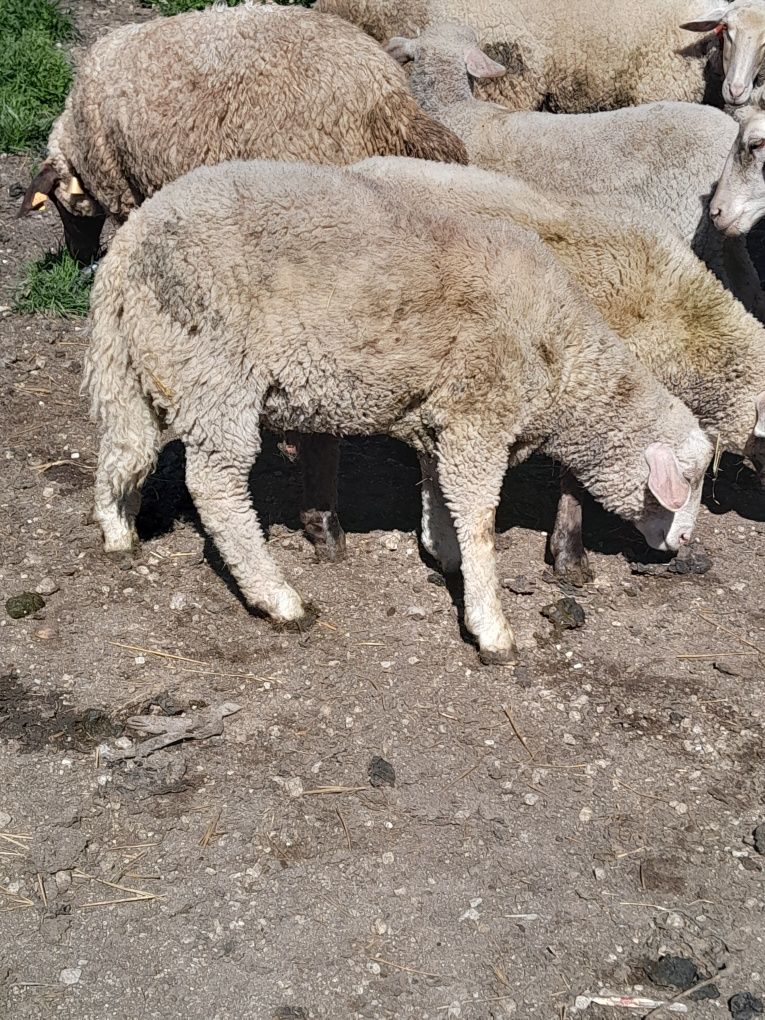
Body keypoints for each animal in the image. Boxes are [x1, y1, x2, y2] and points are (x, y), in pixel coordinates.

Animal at [83, 159, 714, 660]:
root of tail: (127, 245)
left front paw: (444, 554)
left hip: (141, 361)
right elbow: (480, 522)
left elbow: (440, 495)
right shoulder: (479, 419)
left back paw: (118, 533)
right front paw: (491, 627)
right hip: (217, 370)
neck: (563, 355)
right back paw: (279, 599)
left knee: (124, 451)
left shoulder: (445, 419)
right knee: (216, 486)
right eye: (688, 479)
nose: (684, 543)